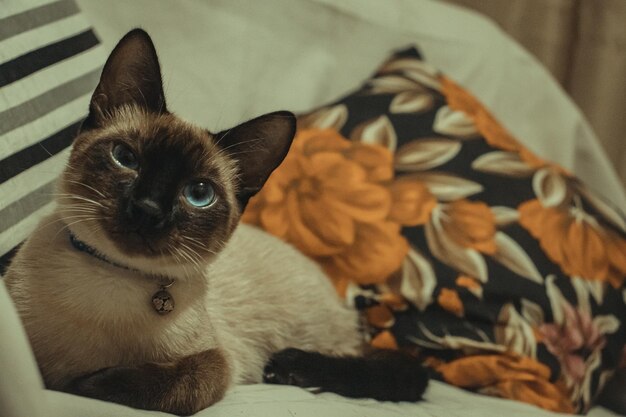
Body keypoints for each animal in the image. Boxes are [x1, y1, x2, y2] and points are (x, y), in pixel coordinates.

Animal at [3, 30, 424, 416]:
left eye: (199, 193)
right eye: (126, 158)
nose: (148, 209)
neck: (114, 277)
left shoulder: (215, 363)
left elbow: (141, 383)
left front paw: (77, 384)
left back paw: (290, 369)